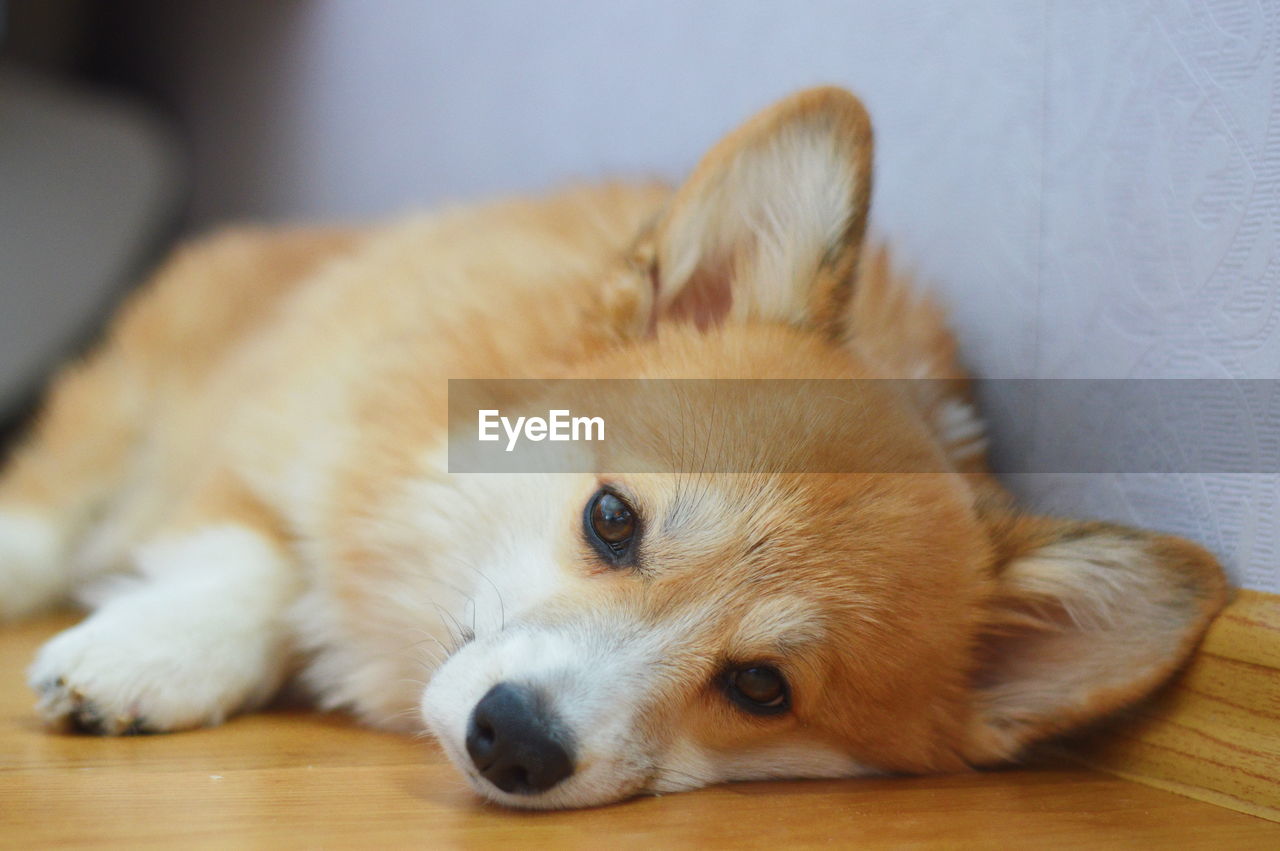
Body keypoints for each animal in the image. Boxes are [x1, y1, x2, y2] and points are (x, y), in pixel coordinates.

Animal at [0, 87, 1223, 808]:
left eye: (762, 686)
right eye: (610, 518)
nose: (511, 740)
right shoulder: (272, 432)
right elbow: (259, 561)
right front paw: (148, 653)